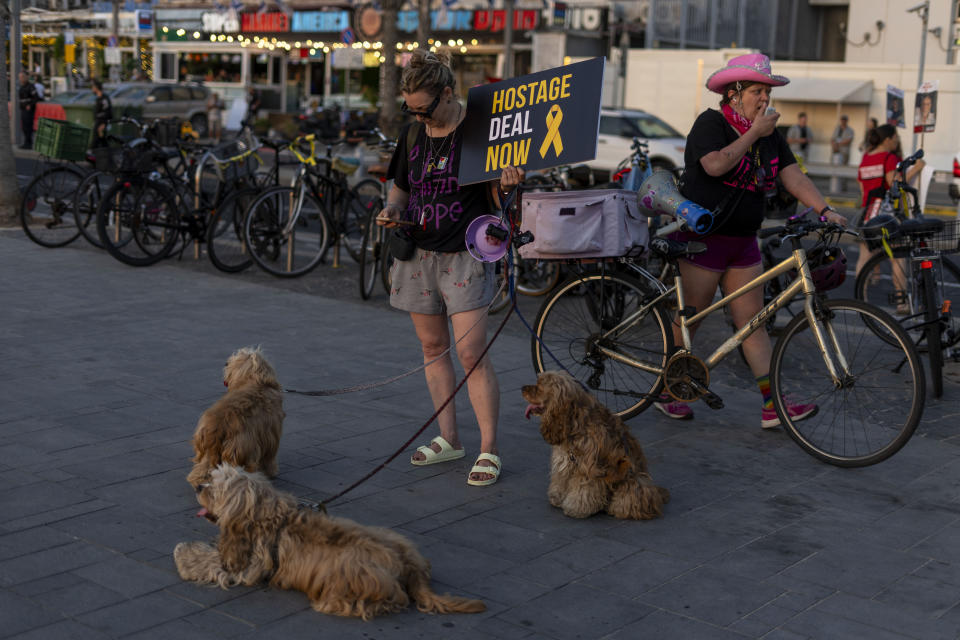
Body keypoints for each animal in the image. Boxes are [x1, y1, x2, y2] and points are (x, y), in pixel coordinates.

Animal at [173, 464, 488, 620]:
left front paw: (184, 554)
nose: (199, 486)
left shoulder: (248, 565)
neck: (266, 512)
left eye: (215, 489)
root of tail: (409, 566)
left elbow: (212, 561)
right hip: (393, 535)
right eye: (210, 480)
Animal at [186, 348, 284, 488]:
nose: (226, 363)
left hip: (208, 452)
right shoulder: (271, 436)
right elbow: (269, 457)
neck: (256, 381)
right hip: (240, 449)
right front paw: (271, 471)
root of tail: (215, 427)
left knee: (204, 468)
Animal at [520, 370, 672, 520]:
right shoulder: (565, 462)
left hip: (633, 481)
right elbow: (561, 480)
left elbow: (583, 490)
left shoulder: (588, 468)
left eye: (539, 387)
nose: (522, 388)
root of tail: (657, 493)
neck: (573, 421)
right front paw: (557, 498)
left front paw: (576, 508)